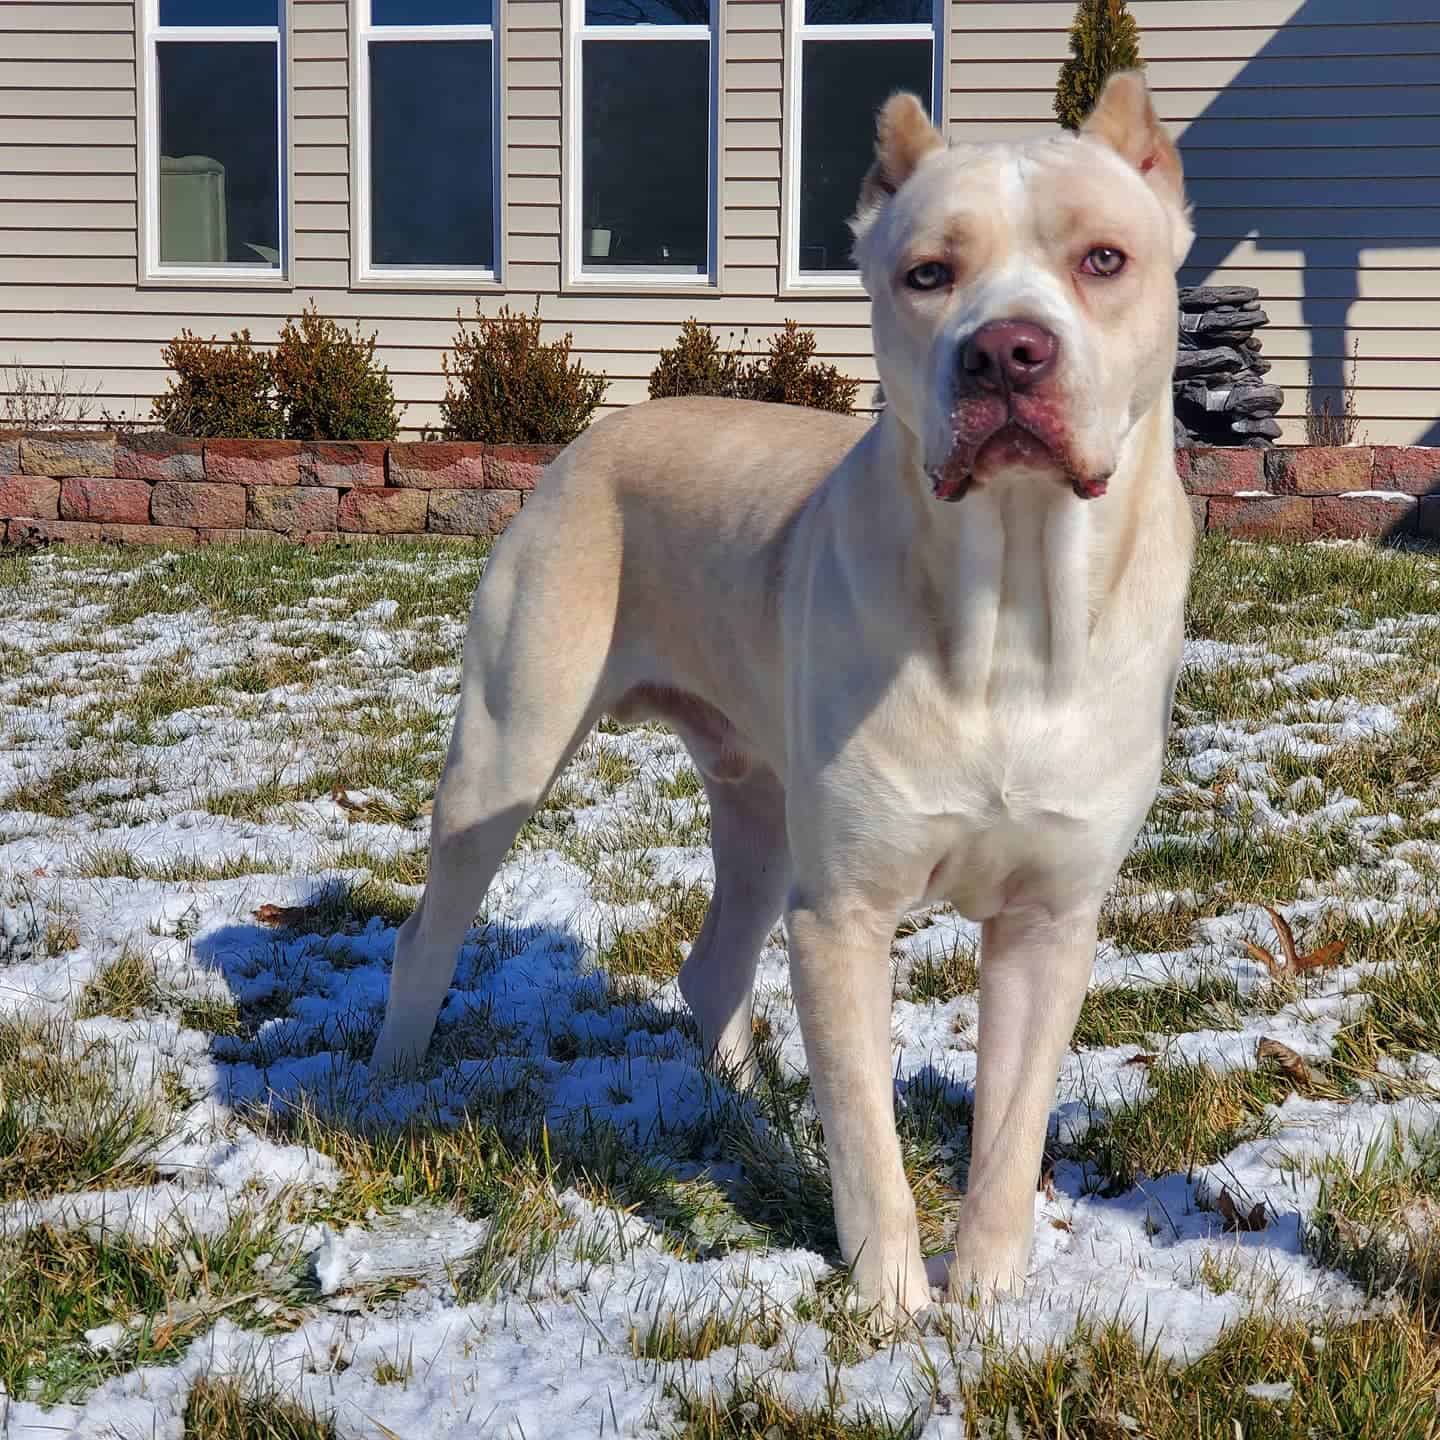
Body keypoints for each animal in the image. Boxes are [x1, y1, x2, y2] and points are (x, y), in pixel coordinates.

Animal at [371, 75, 1192, 1319]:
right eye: (928, 273)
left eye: (1105, 259)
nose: (1007, 353)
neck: (1009, 599)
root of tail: (593, 437)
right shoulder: (843, 912)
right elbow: (865, 1133)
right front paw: (892, 1302)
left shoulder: (1051, 921)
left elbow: (1010, 1134)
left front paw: (988, 1302)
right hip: (506, 750)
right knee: (432, 924)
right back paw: (390, 1084)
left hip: (760, 811)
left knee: (712, 965)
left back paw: (749, 1116)